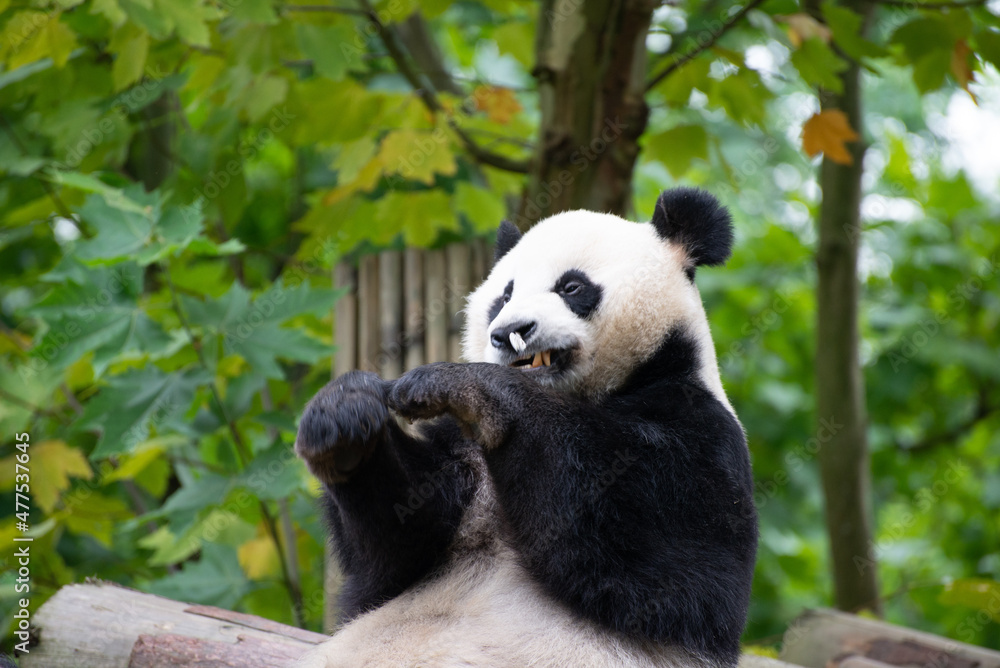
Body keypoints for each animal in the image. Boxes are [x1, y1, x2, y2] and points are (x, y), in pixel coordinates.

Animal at [294, 188, 758, 668]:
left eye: (571, 287)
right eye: (503, 296)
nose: (509, 332)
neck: (581, 394)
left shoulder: (700, 427)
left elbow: (674, 564)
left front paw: (468, 385)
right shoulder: (460, 450)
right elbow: (390, 560)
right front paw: (343, 419)